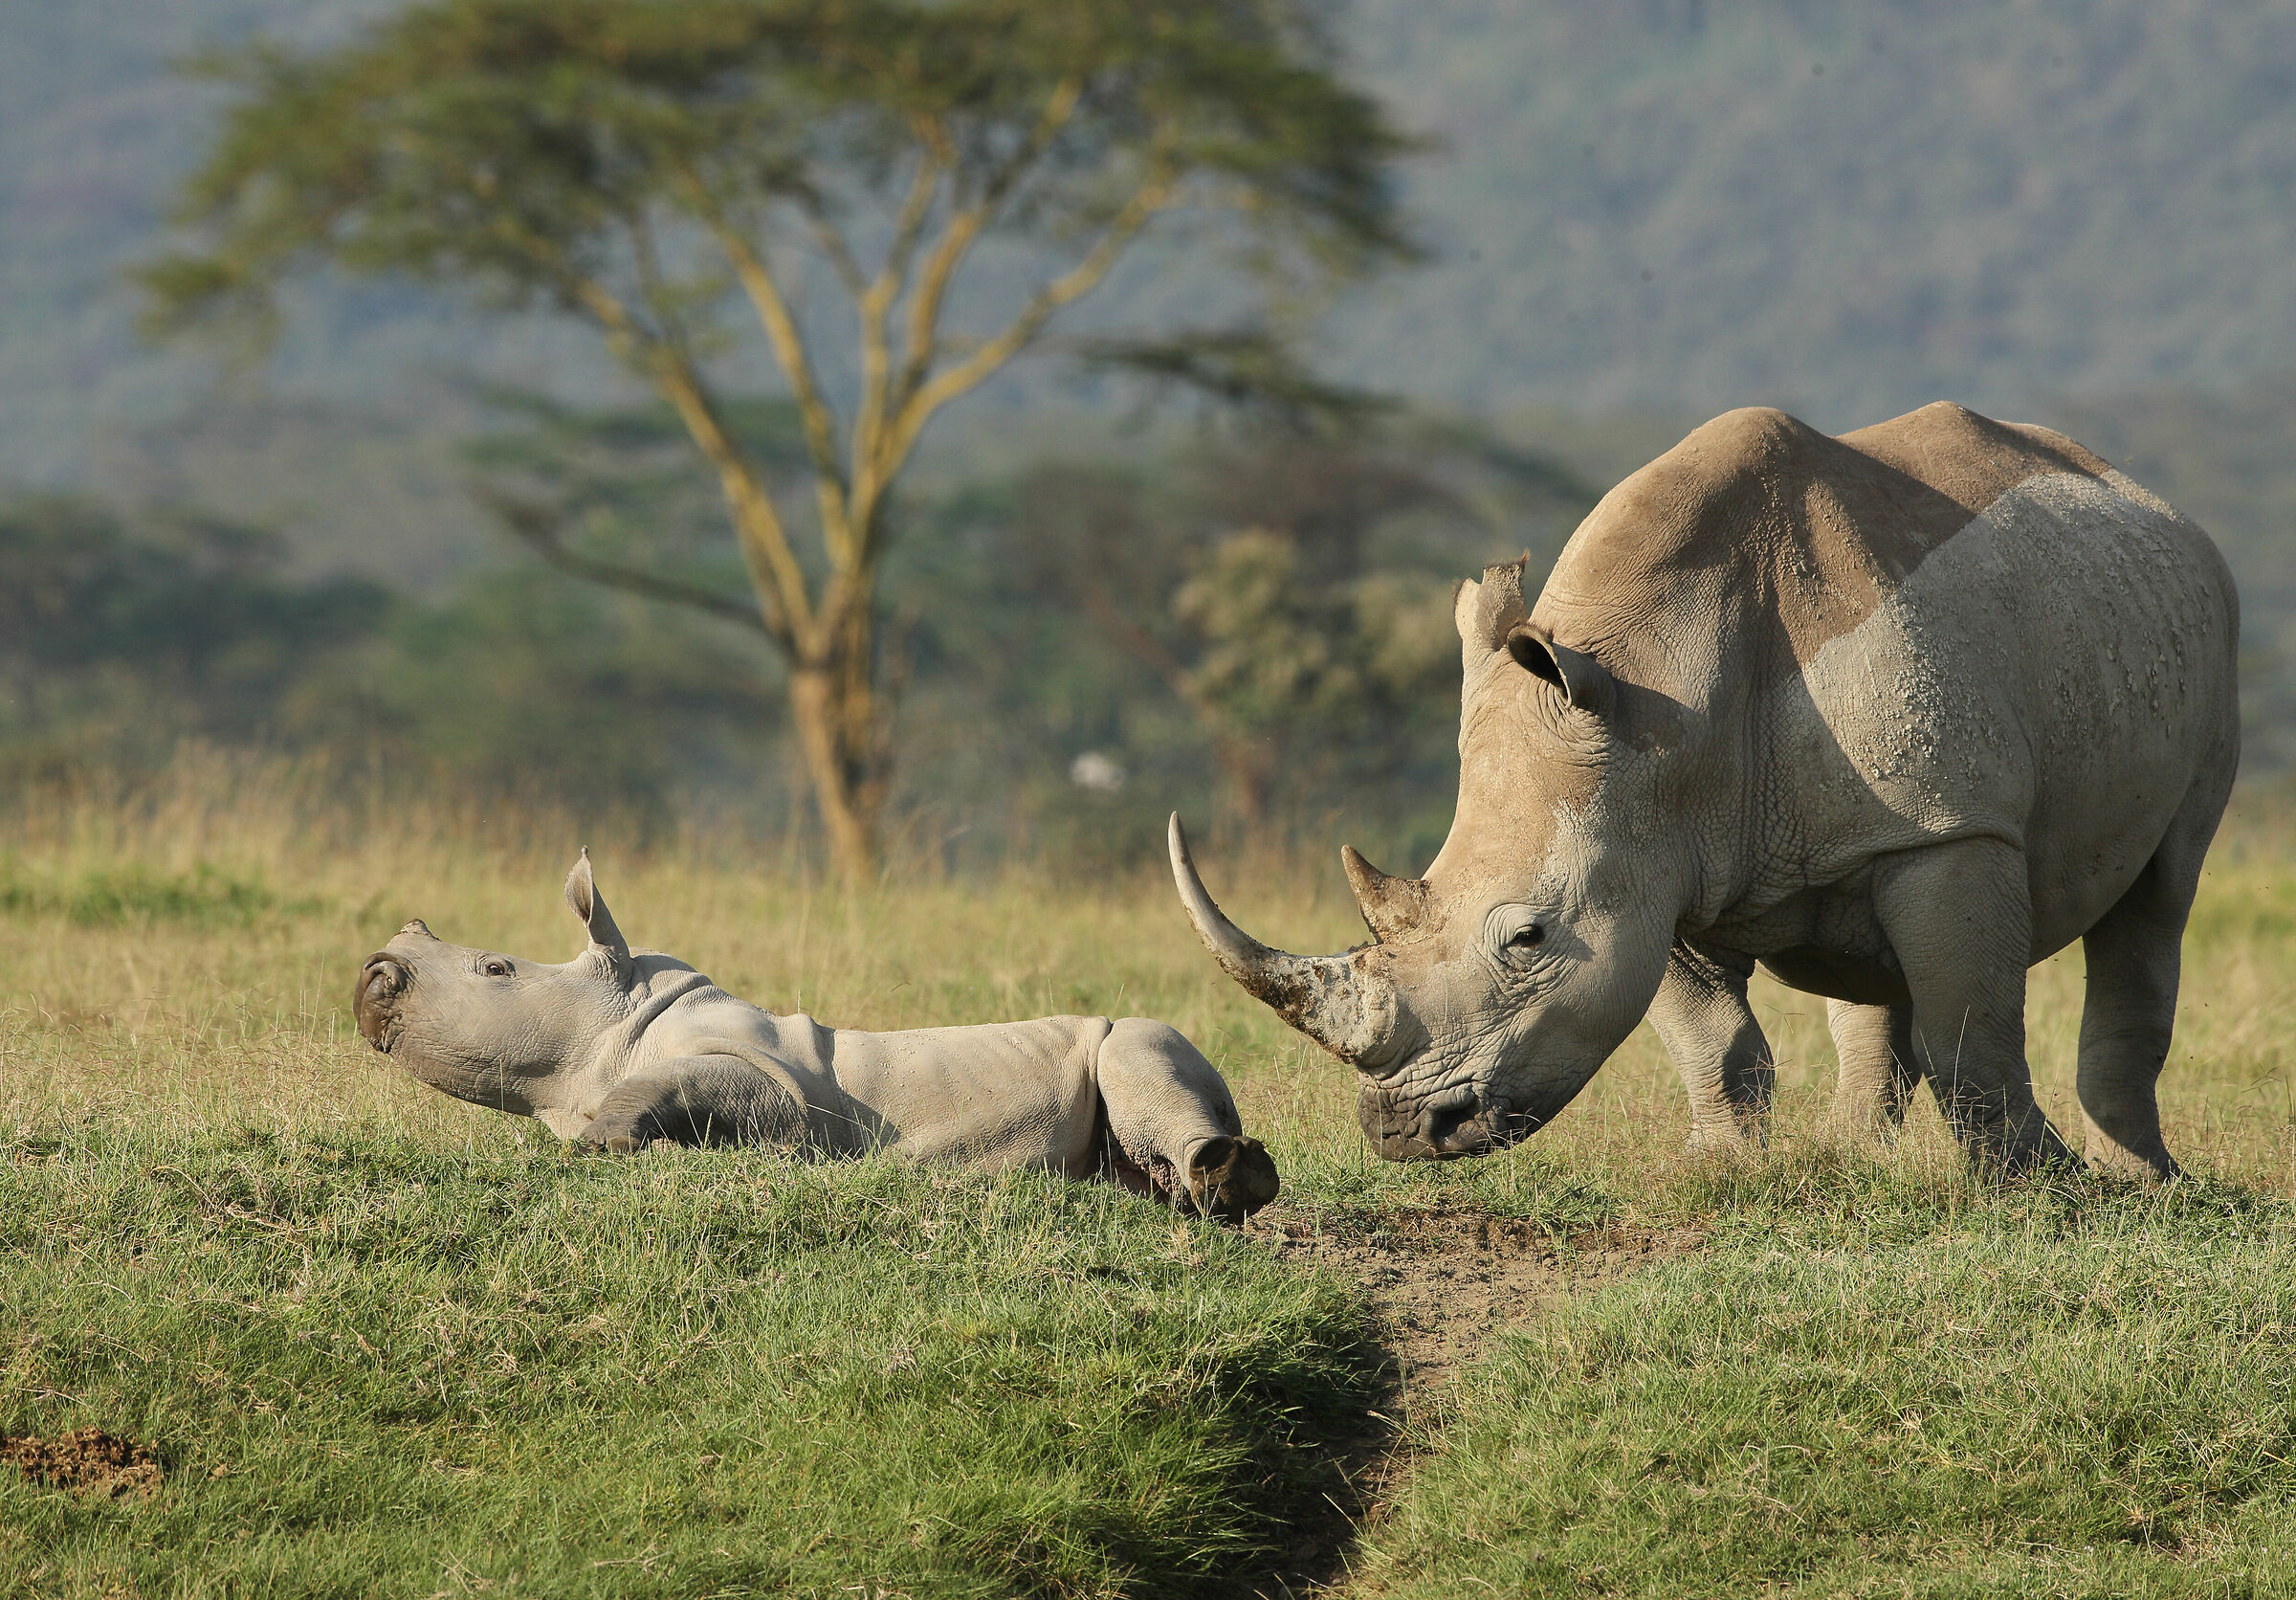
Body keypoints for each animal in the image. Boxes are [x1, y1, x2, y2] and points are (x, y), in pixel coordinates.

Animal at [353, 854, 1281, 1221]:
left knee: (1143, 1057)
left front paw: (608, 1143)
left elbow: (705, 1092)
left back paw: (1228, 1181)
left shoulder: (780, 1089)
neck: (619, 1021)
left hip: (1142, 1036)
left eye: (495, 968)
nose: (374, 974)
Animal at [1172, 402, 2239, 1178]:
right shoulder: (1650, 858)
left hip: (2204, 618)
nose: (1402, 1132)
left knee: (2161, 894)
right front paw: (1721, 1170)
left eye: (1528, 939)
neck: (1657, 691)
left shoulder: (1949, 829)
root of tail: (2145, 494)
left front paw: (2034, 1189)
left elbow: (1971, 1026)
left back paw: (2143, 1182)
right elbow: (1711, 1038)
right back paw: (1856, 1161)